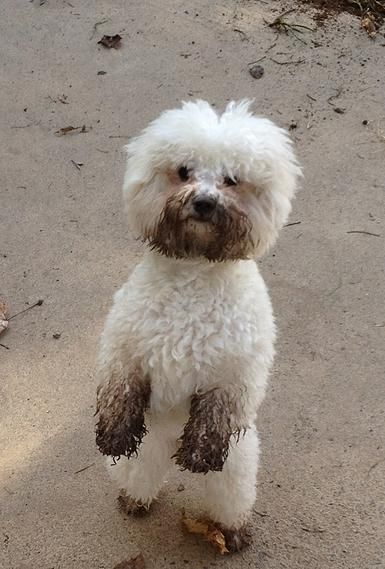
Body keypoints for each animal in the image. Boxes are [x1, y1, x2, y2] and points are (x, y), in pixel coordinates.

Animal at [94, 98, 298, 552]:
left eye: (232, 179)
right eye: (184, 171)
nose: (203, 202)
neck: (194, 272)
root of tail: (170, 435)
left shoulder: (235, 374)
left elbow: (217, 411)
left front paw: (199, 453)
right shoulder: (125, 350)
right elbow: (119, 389)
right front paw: (113, 433)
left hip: (237, 464)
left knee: (231, 495)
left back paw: (232, 530)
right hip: (147, 448)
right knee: (139, 474)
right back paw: (134, 499)